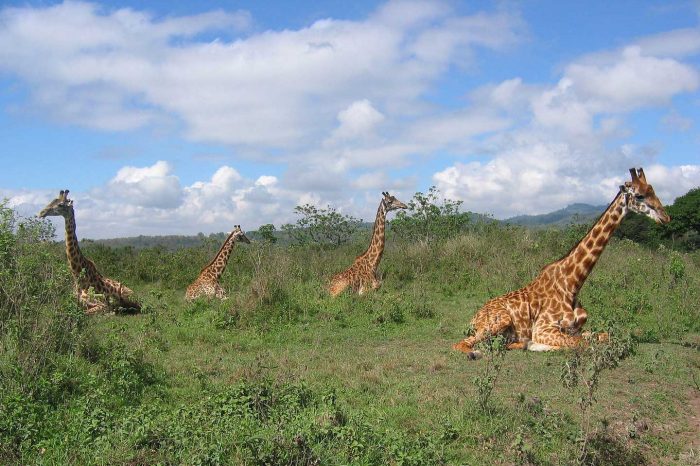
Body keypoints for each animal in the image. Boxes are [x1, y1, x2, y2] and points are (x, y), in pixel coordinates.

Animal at [452, 169, 668, 358]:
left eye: (654, 190)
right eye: (639, 196)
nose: (665, 217)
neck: (572, 284)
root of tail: (475, 316)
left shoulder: (576, 329)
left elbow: (604, 336)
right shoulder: (543, 329)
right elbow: (581, 344)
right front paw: (538, 345)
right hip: (499, 320)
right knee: (462, 343)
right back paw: (476, 353)